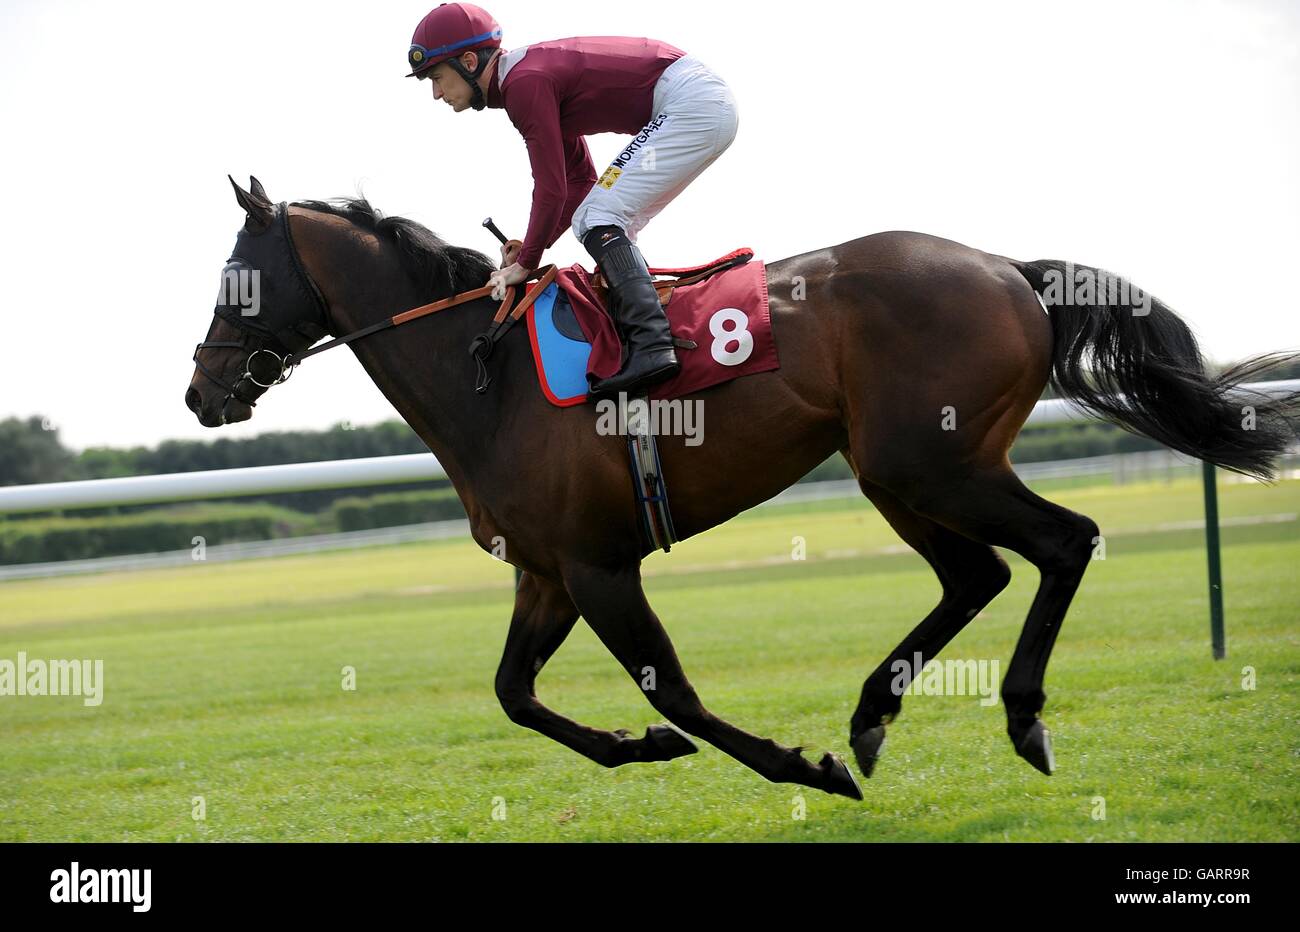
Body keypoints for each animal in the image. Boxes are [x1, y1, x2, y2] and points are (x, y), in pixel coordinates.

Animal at [185, 176, 1300, 800]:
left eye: (238, 277)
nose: (201, 388)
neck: (487, 375)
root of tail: (1006, 267)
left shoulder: (599, 564)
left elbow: (669, 686)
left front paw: (792, 765)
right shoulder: (547, 573)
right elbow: (513, 694)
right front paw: (637, 747)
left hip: (933, 462)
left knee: (1061, 541)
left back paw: (1017, 718)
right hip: (895, 470)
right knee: (977, 573)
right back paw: (871, 713)